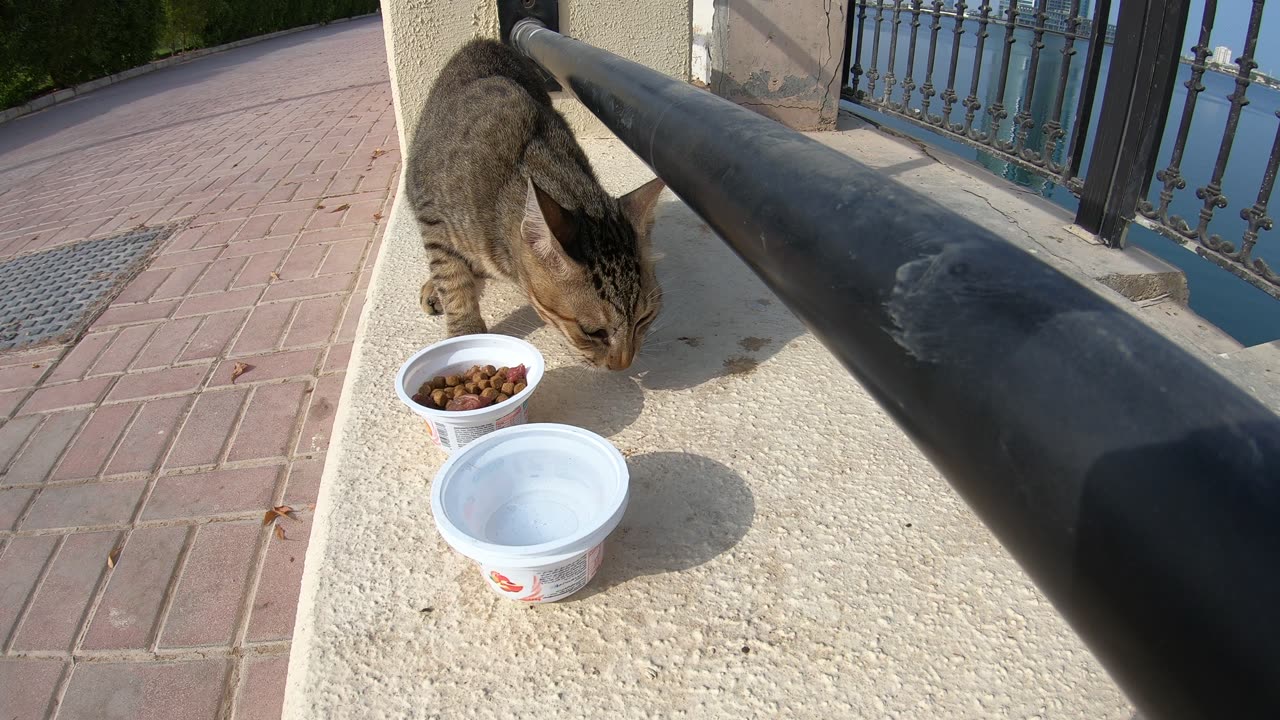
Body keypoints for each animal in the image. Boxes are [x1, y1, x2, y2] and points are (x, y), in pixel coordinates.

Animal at [404, 38, 665, 368]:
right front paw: (465, 334)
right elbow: (453, 281)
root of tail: (485, 41)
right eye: (592, 332)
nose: (623, 364)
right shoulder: (433, 218)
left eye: (645, 319)